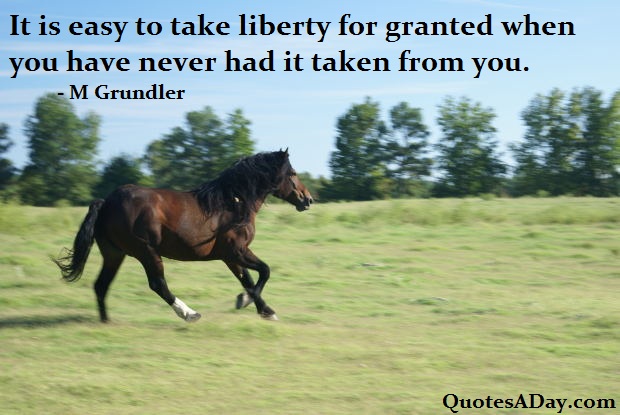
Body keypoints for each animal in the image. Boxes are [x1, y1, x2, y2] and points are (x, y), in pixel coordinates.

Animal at [53, 149, 313, 322]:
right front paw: (246, 301)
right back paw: (189, 313)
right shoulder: (237, 251)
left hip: (114, 254)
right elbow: (264, 271)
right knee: (157, 284)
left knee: (101, 285)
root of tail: (107, 202)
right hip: (146, 251)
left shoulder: (230, 257)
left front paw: (264, 309)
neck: (232, 203)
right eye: (292, 173)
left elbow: (248, 280)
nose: (308, 199)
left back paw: (106, 321)